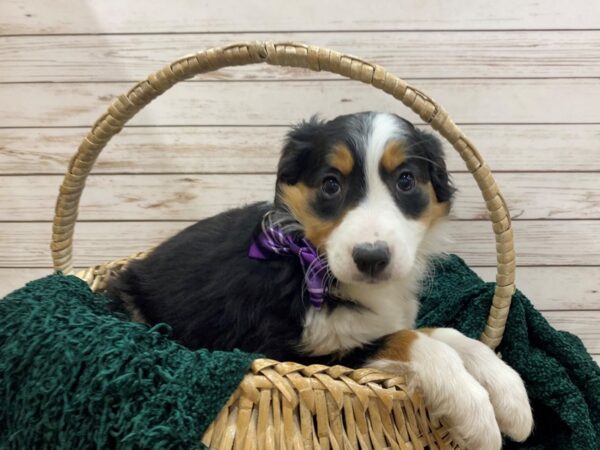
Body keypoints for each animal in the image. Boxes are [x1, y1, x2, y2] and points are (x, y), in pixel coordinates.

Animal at [106, 110, 528, 448]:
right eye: (330, 184)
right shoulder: (292, 352)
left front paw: (511, 396)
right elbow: (413, 341)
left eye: (406, 181)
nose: (371, 258)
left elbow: (446, 334)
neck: (310, 263)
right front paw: (476, 415)